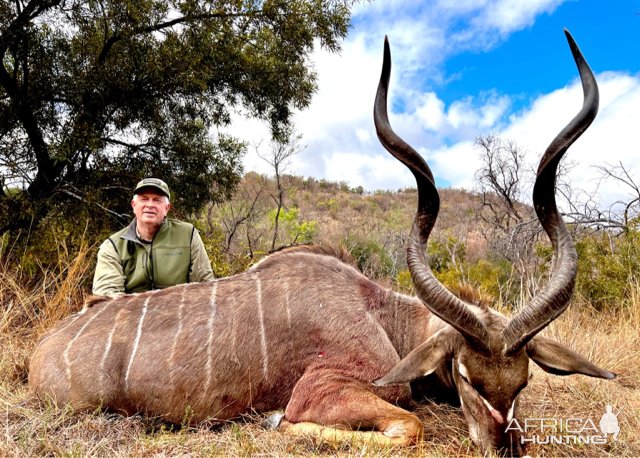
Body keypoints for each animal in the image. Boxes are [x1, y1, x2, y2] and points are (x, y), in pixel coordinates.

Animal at [31, 29, 616, 454]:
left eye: (522, 384)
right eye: (469, 378)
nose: (505, 447)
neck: (380, 312)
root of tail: (40, 353)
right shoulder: (331, 389)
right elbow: (407, 426)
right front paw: (275, 421)